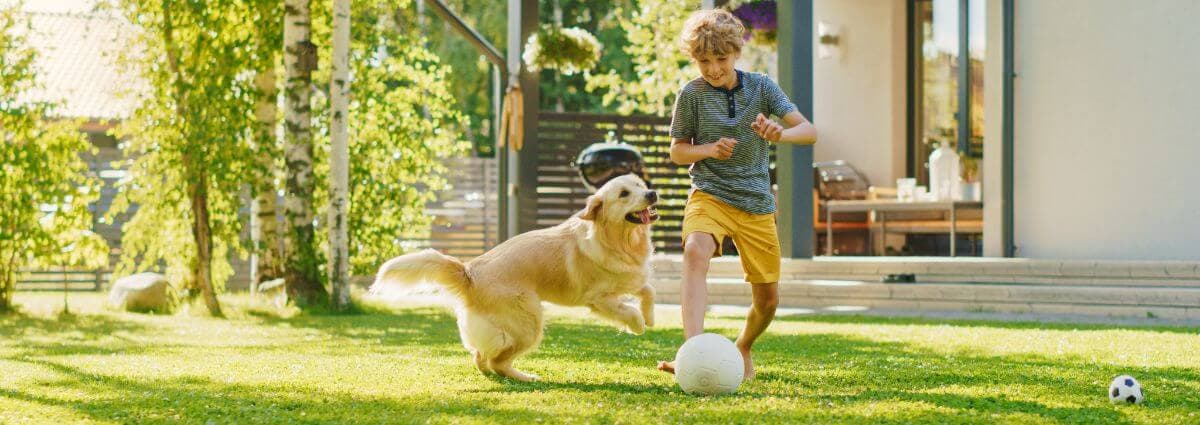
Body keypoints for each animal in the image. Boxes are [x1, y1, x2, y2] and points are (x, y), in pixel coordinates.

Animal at [369, 174, 662, 381]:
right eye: (624, 194)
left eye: (639, 184)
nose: (652, 193)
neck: (619, 241)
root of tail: (469, 271)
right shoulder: (598, 299)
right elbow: (628, 310)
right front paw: (638, 325)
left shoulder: (631, 279)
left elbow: (649, 290)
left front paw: (650, 317)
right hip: (530, 322)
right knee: (497, 361)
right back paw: (526, 377)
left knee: (480, 356)